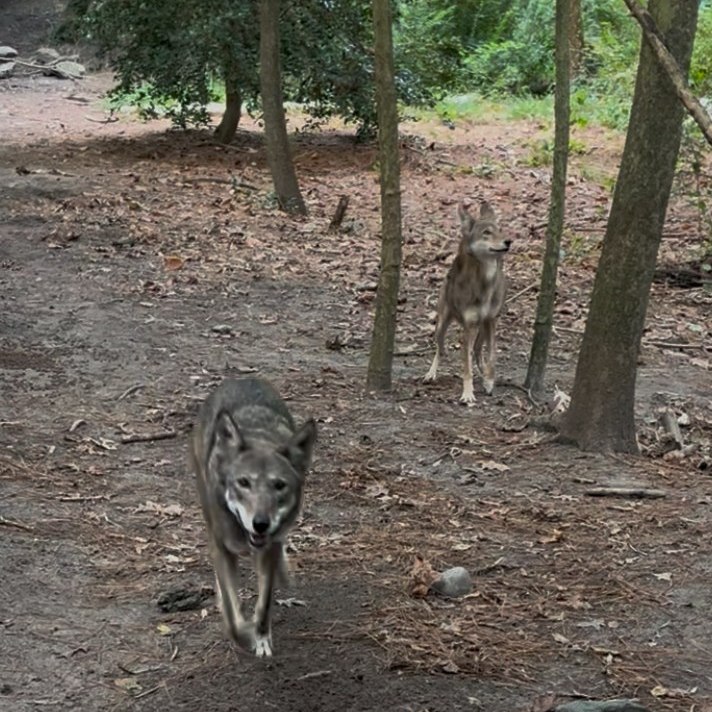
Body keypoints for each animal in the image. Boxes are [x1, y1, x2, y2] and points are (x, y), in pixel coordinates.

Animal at [190, 377, 317, 657]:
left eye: (279, 485)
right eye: (243, 482)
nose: (260, 524)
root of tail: (240, 378)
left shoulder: (267, 549)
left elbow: (264, 604)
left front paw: (261, 639)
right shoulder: (221, 549)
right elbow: (232, 615)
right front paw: (246, 634)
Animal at [423, 201, 511, 405]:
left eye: (500, 230)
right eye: (486, 232)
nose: (508, 241)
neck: (485, 283)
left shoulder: (491, 321)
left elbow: (492, 355)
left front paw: (489, 381)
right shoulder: (469, 326)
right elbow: (466, 366)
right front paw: (468, 394)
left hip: (483, 328)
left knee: (478, 350)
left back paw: (484, 373)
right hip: (442, 325)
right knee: (440, 348)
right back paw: (431, 373)